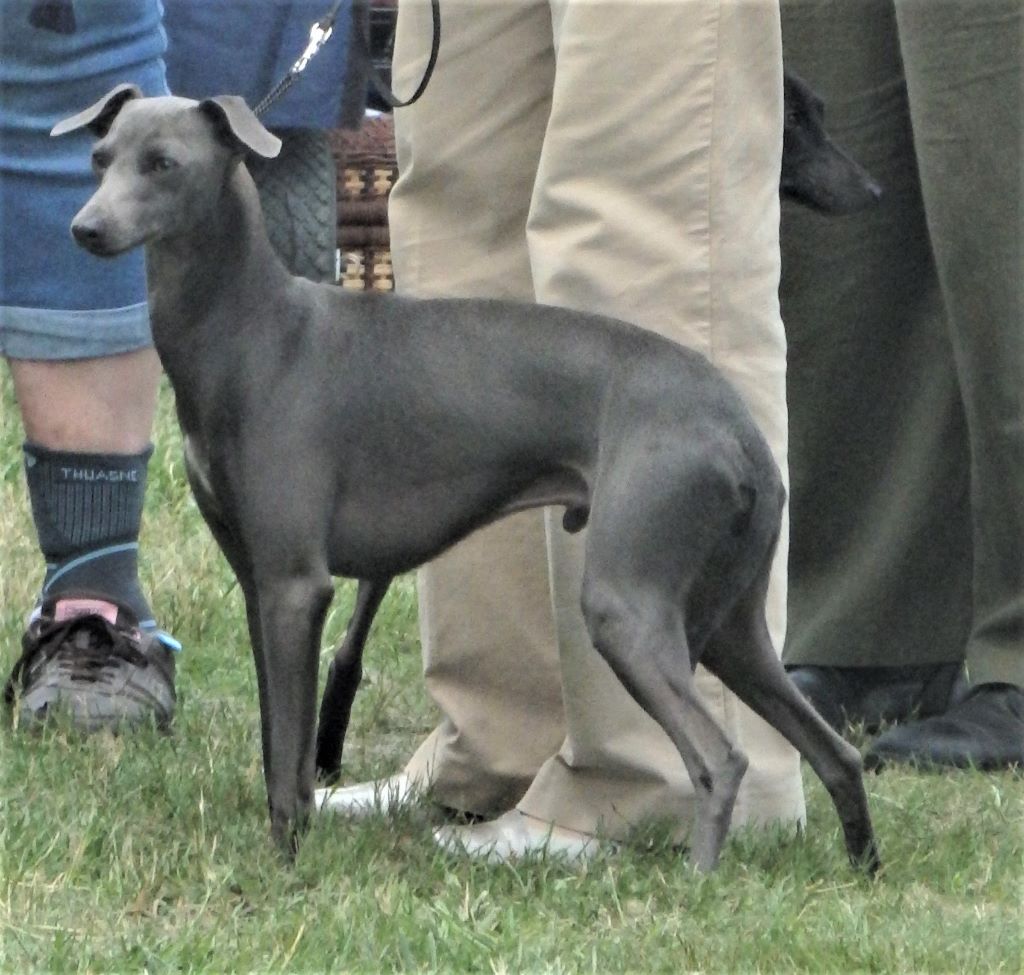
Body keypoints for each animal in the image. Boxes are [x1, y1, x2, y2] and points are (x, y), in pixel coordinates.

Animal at [54, 85, 880, 876]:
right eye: (99, 157)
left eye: (164, 163)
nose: (85, 229)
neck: (254, 332)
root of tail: (740, 428)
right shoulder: (259, 586)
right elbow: (274, 742)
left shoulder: (295, 585)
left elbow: (289, 755)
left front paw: (285, 867)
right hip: (732, 625)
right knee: (836, 750)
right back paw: (863, 866)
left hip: (626, 603)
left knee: (718, 757)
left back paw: (700, 882)